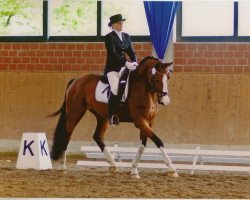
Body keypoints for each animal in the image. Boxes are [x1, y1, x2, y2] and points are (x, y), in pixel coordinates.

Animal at [48, 55, 178, 178]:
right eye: (157, 79)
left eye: (168, 77)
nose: (166, 101)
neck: (142, 89)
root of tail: (76, 80)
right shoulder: (140, 121)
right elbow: (158, 140)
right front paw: (172, 169)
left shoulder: (149, 121)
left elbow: (143, 145)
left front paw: (134, 171)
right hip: (74, 113)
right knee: (67, 135)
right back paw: (62, 167)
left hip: (102, 117)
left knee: (97, 137)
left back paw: (114, 165)